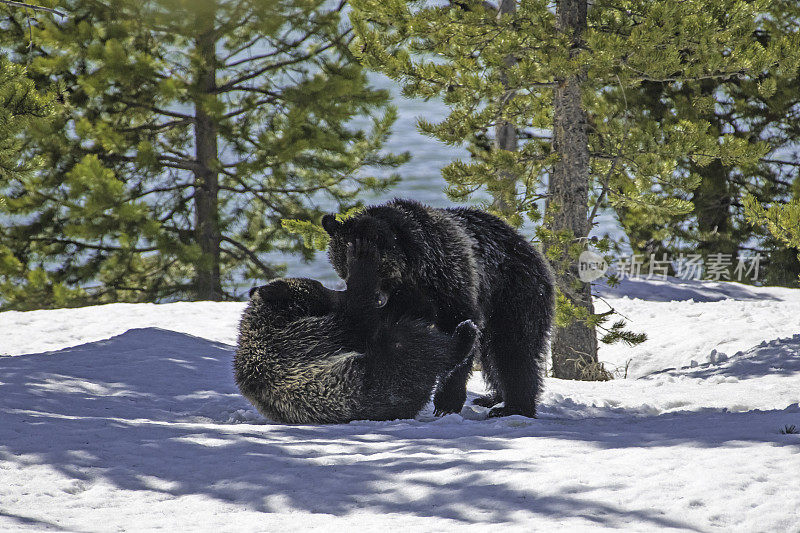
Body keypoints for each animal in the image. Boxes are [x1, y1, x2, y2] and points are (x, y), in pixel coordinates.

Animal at [234, 239, 478, 422]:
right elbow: (356, 324)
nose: (339, 293)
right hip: (382, 377)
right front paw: (361, 256)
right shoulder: (295, 340)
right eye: (320, 287)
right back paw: (464, 335)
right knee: (415, 343)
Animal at [322, 197, 552, 418]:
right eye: (343, 270)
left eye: (377, 270)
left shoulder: (448, 279)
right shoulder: (401, 302)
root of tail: (527, 244)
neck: (412, 271)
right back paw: (493, 398)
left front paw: (447, 401)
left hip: (512, 291)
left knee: (513, 348)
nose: (376, 300)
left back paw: (514, 407)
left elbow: (458, 326)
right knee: (494, 355)